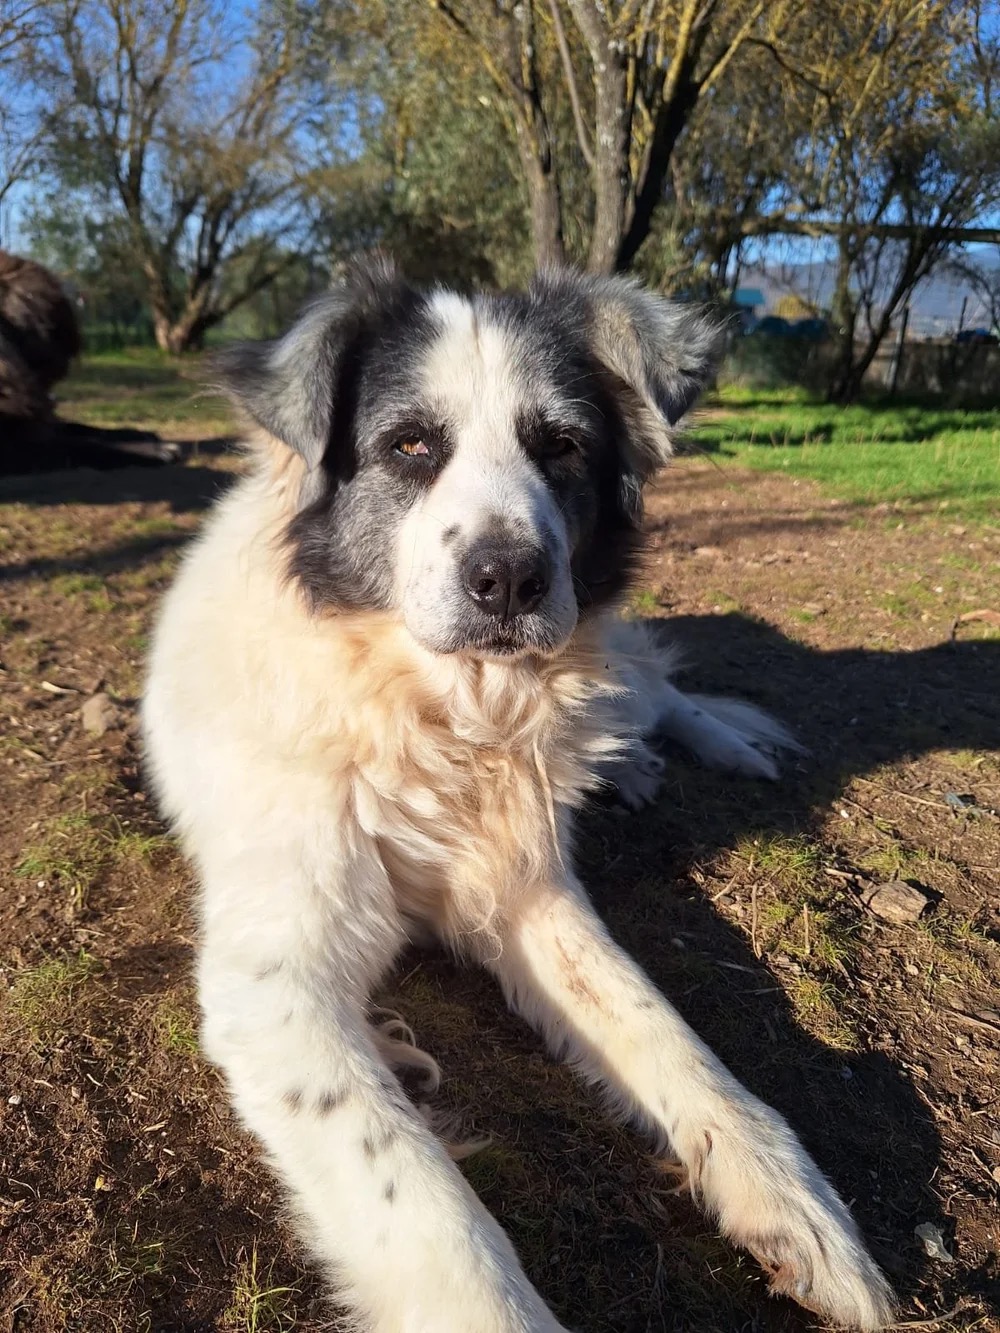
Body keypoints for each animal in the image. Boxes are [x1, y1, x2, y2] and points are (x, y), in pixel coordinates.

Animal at [142, 257, 894, 1332]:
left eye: (563, 446)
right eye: (410, 446)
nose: (508, 579)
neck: (443, 719)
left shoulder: (531, 892)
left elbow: (669, 1035)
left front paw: (796, 1200)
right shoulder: (272, 981)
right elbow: (425, 1203)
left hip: (614, 663)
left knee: (659, 691)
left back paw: (715, 747)